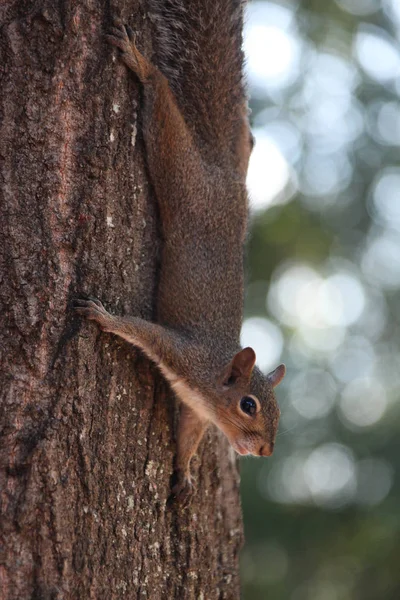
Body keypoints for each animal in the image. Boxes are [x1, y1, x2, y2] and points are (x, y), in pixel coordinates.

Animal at [75, 2, 286, 504]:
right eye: (248, 405)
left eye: (279, 412)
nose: (265, 451)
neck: (212, 383)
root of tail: (221, 174)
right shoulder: (182, 354)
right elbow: (142, 332)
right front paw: (104, 317)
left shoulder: (197, 412)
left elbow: (188, 437)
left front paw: (185, 473)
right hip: (182, 176)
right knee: (165, 117)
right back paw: (141, 63)